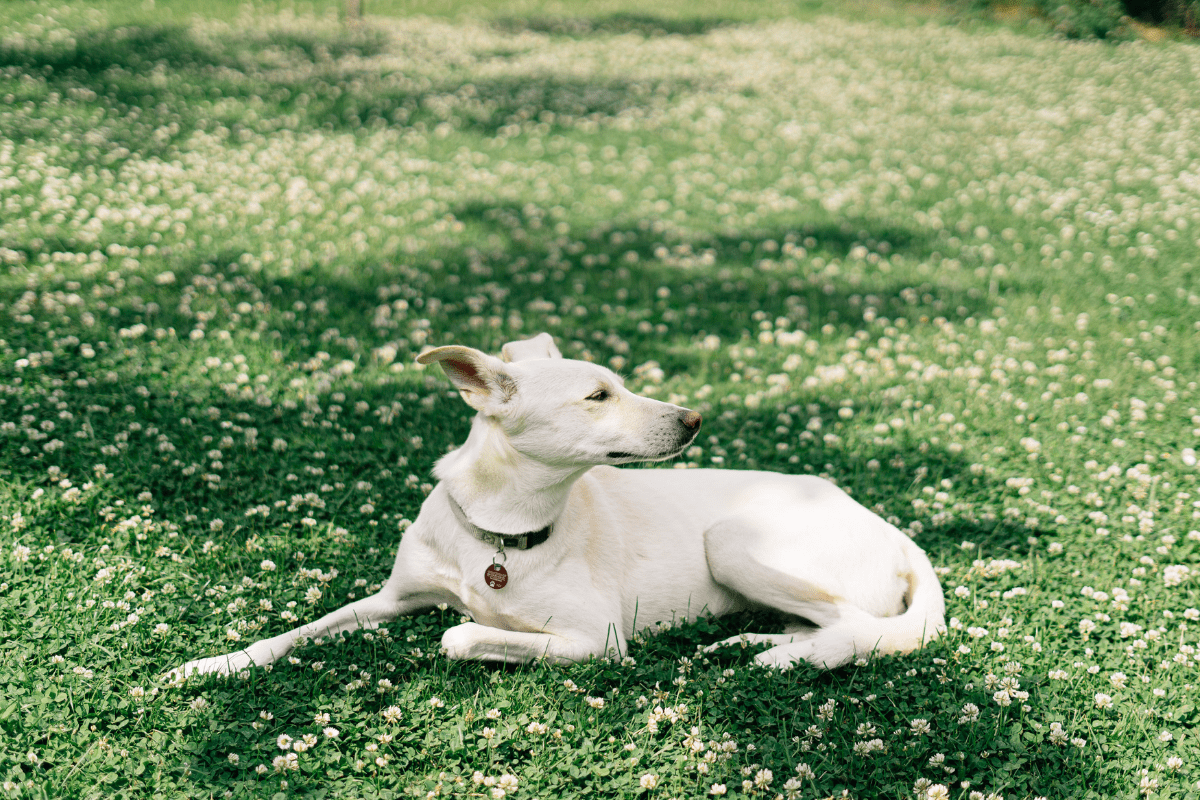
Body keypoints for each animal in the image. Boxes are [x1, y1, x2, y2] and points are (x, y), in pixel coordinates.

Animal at [164, 331, 940, 681]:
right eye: (598, 395)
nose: (694, 419)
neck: (498, 532)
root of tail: (895, 532)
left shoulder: (599, 639)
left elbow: (461, 634)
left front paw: (485, 629)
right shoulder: (389, 598)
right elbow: (298, 631)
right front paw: (213, 666)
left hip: (734, 540)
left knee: (855, 629)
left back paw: (778, 660)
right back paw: (755, 643)